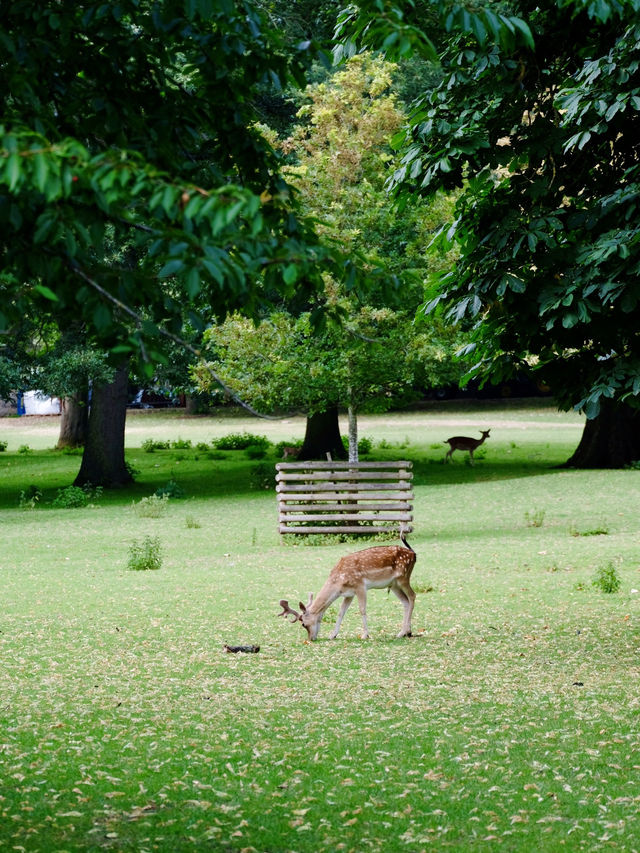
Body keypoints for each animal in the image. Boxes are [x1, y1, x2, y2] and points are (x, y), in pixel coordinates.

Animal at [278, 532, 418, 640]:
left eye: (303, 624)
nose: (311, 639)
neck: (338, 581)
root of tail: (413, 553)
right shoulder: (348, 593)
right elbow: (341, 612)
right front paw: (332, 635)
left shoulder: (360, 586)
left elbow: (362, 609)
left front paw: (365, 635)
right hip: (393, 584)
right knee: (405, 601)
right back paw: (404, 632)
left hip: (403, 577)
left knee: (412, 596)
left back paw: (406, 631)